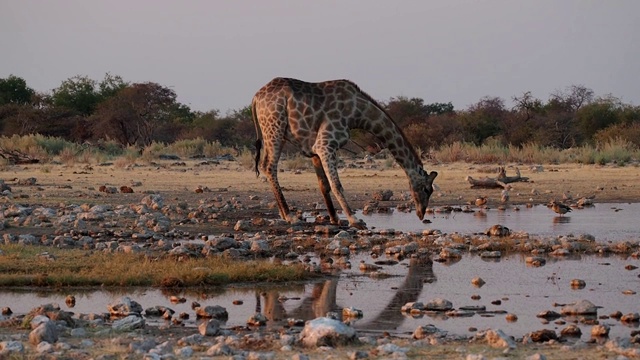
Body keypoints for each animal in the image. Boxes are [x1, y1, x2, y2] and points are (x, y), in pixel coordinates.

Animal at [252, 77, 438, 228]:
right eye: (427, 189)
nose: (421, 214)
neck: (357, 113)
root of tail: (255, 98)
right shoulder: (326, 144)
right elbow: (337, 185)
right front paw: (354, 220)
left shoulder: (315, 150)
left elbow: (324, 185)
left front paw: (335, 219)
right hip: (274, 128)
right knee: (269, 166)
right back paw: (290, 216)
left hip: (276, 133)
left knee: (266, 165)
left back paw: (284, 215)